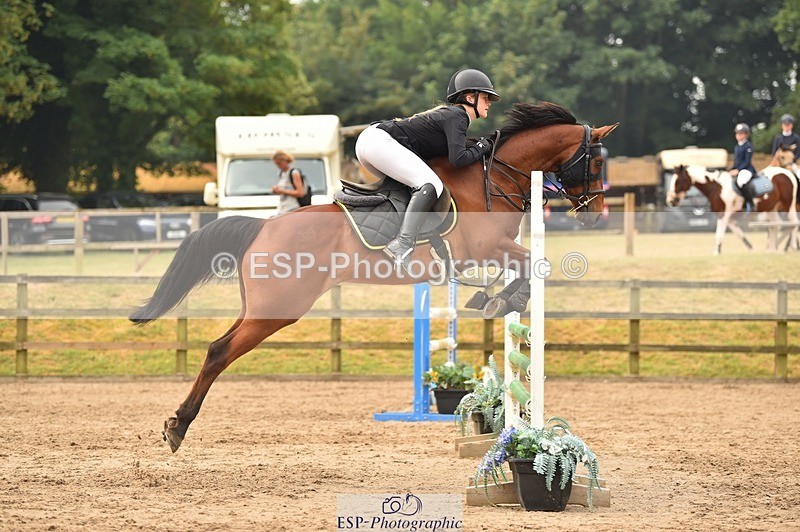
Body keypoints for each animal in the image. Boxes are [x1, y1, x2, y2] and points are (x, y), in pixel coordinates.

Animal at [130, 102, 619, 453]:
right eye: (596, 164)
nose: (593, 215)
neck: (495, 176)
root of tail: (263, 226)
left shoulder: (489, 253)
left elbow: (527, 268)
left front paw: (493, 299)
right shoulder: (485, 248)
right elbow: (536, 265)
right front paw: (503, 300)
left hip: (262, 305)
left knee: (220, 345)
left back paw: (177, 423)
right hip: (278, 309)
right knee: (218, 352)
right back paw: (178, 427)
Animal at [666, 164, 798, 255]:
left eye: (678, 181)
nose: (671, 200)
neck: (716, 187)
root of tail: (787, 172)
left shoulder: (723, 215)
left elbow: (719, 234)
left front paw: (716, 252)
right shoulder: (728, 217)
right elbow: (738, 232)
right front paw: (750, 248)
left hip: (789, 206)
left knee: (793, 223)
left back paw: (793, 246)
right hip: (771, 209)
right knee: (777, 224)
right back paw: (773, 248)